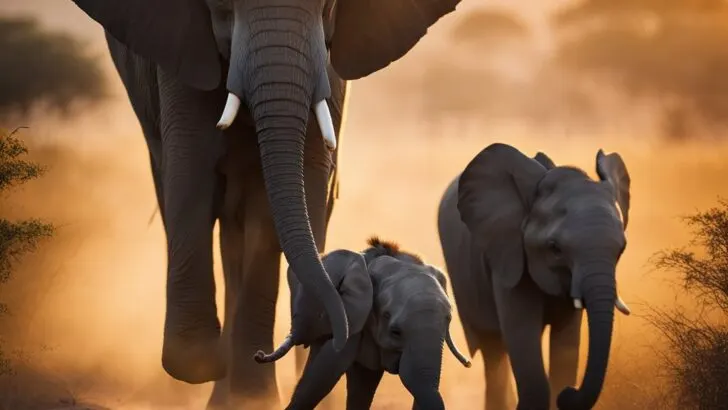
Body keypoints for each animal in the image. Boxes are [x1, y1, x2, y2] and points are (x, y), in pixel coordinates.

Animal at [438, 142, 632, 410]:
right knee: (492, 349)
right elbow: (522, 334)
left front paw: (561, 390)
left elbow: (566, 343)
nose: (569, 394)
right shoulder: (509, 255)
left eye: (621, 249)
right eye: (555, 248)